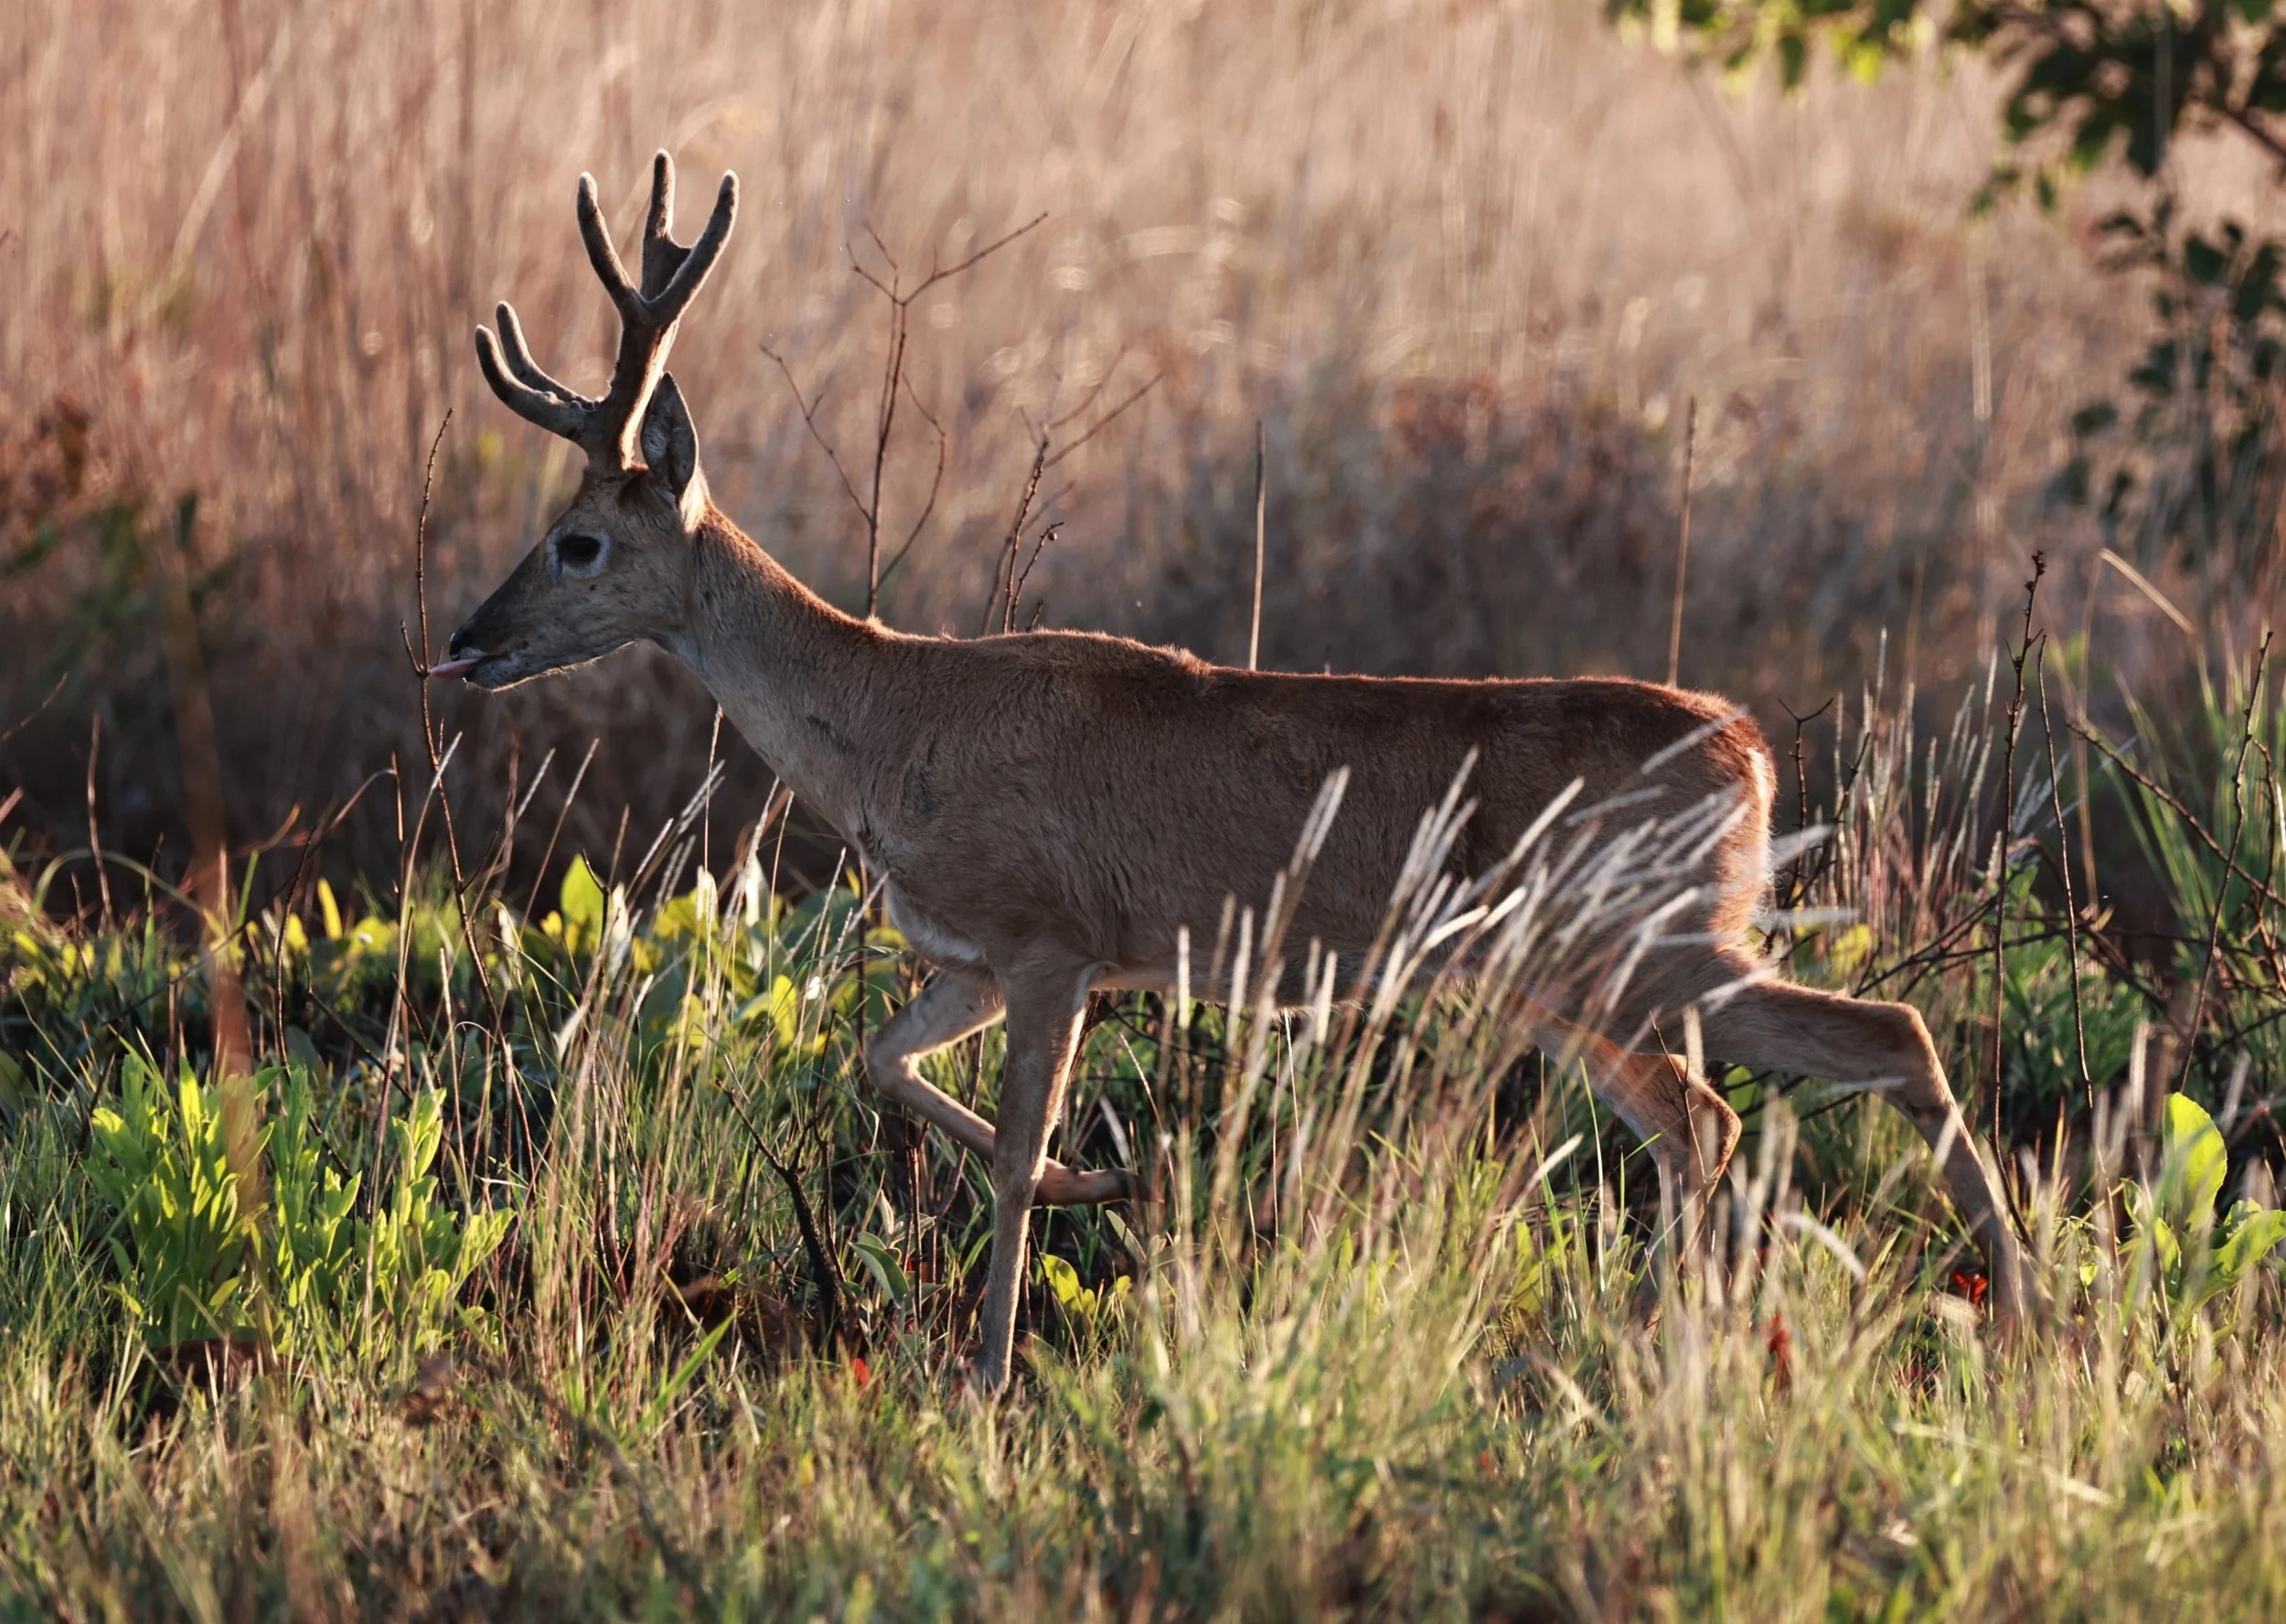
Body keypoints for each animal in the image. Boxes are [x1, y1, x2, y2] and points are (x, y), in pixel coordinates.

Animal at [434, 153, 2032, 1394]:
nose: (461, 639)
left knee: (1852, 1047)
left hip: (1627, 942)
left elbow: (1001, 1146)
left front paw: (987, 1367)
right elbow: (880, 1061)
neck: (896, 724)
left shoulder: (1054, 935)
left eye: (581, 542)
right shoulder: (973, 953)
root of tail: (1752, 751)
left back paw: (2011, 1316)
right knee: (1722, 1119)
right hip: (1574, 970)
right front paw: (1106, 1181)